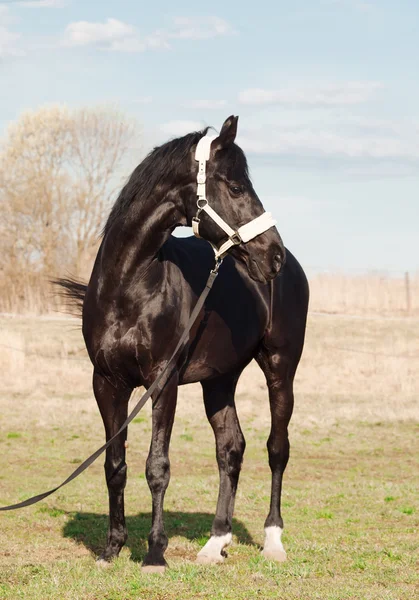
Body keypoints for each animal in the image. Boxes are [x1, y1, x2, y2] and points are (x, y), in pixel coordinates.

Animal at [60, 116, 310, 572]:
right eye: (235, 187)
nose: (273, 255)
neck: (129, 285)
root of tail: (294, 270)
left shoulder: (164, 382)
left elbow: (157, 466)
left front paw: (155, 553)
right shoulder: (106, 383)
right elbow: (115, 465)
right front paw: (112, 549)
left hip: (281, 368)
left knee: (277, 448)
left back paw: (273, 541)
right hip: (220, 380)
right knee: (231, 449)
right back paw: (214, 543)